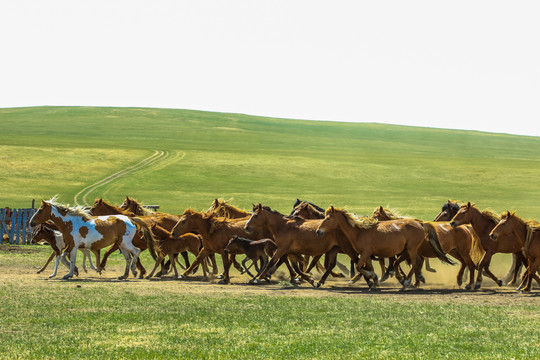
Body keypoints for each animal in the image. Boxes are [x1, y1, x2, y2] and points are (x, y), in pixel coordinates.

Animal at [30, 198, 158, 280]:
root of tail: (131, 219)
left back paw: (134, 271)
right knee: (128, 258)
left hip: (125, 243)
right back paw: (124, 275)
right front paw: (73, 271)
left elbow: (71, 259)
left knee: (136, 251)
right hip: (121, 244)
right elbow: (63, 257)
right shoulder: (70, 245)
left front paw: (69, 274)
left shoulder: (74, 246)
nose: (31, 223)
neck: (70, 223)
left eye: (40, 210)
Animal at [314, 207, 454, 288]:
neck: (359, 231)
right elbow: (367, 267)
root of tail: (421, 223)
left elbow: (359, 266)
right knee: (410, 263)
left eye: (328, 218)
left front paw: (372, 277)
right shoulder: (367, 255)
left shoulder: (365, 253)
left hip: (411, 249)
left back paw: (407, 281)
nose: (318, 231)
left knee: (415, 264)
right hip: (408, 251)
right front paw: (374, 281)